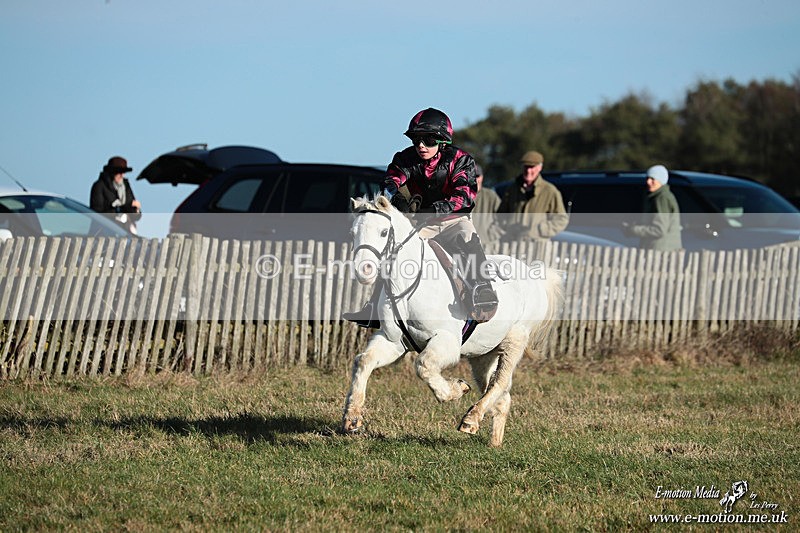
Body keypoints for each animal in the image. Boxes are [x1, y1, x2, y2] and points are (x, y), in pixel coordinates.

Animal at [341, 194, 563, 447]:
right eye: (352, 233)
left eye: (383, 232)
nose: (364, 271)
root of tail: (534, 277)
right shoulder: (393, 340)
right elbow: (363, 361)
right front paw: (352, 418)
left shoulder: (446, 342)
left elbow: (424, 365)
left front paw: (456, 390)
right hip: (483, 355)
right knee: (500, 394)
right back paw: (493, 441)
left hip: (515, 340)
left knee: (499, 382)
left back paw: (471, 419)